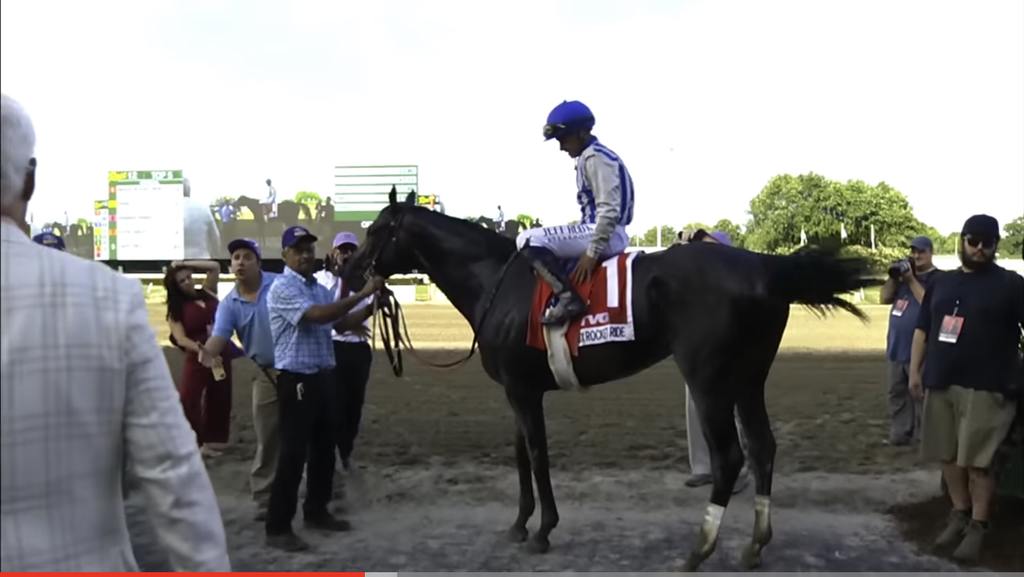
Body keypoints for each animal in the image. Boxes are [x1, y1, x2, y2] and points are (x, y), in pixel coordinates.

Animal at [342, 191, 872, 569]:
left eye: (377, 231)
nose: (348, 267)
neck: (496, 281)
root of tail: (763, 262)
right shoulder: (517, 389)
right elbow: (520, 454)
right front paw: (519, 524)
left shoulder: (523, 391)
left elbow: (537, 454)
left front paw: (543, 530)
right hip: (748, 377)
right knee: (763, 447)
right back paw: (755, 545)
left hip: (709, 379)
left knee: (730, 457)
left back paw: (698, 550)